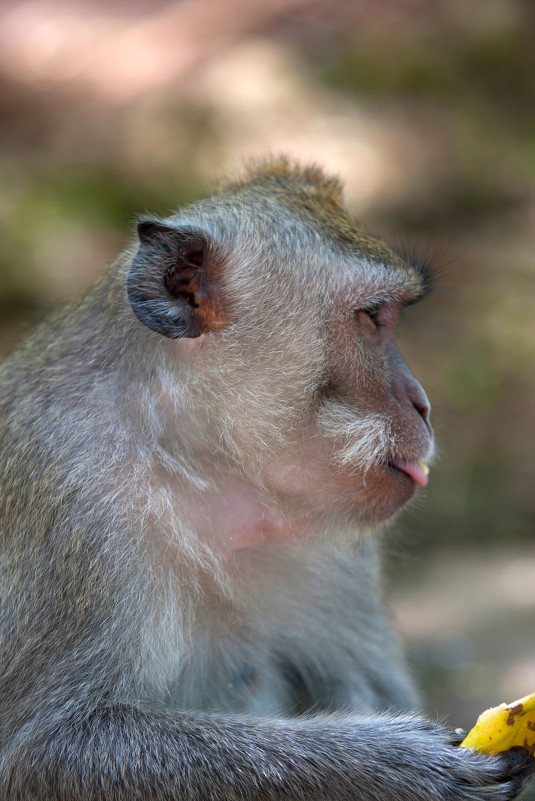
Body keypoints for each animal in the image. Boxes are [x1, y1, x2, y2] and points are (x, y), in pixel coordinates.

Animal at [0, 158, 532, 800]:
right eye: (372, 317)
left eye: (391, 317)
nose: (422, 404)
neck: (199, 462)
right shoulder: (75, 508)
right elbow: (48, 750)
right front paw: (397, 765)